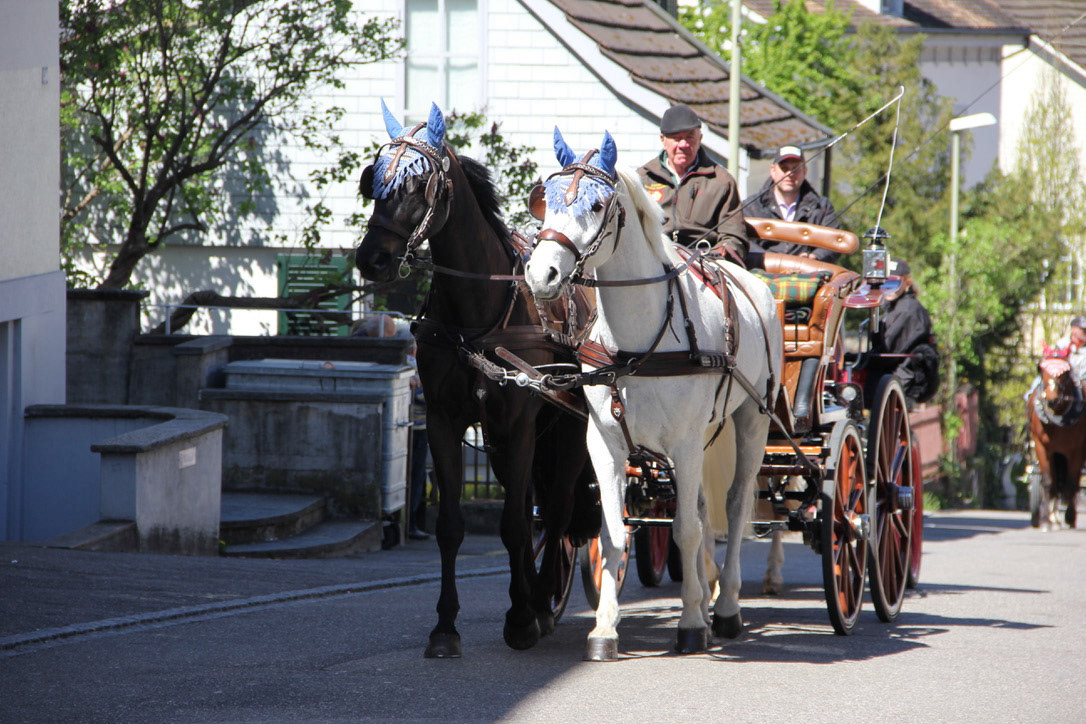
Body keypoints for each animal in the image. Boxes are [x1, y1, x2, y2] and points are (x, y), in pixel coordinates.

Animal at [355, 102, 598, 657]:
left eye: (418, 185)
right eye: (373, 180)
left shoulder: (519, 424)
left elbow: (515, 524)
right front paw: (446, 626)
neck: (477, 315)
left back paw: (543, 599)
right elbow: (452, 526)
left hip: (569, 429)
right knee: (534, 506)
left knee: (555, 510)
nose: (372, 259)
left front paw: (524, 618)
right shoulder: (445, 421)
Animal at [524, 128, 782, 659]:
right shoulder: (605, 444)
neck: (638, 343)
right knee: (702, 509)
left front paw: (691, 624)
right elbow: (614, 533)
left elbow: (685, 530)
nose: (541, 275)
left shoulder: (683, 443)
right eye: (547, 200)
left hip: (752, 420)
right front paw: (605, 629)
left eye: (597, 204)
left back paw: (725, 608)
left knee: (733, 506)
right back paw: (705, 596)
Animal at [1027, 355, 1086, 529]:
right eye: (1043, 375)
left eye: (1064, 376)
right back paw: (1052, 516)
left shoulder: (1077, 449)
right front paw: (1046, 519)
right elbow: (1048, 481)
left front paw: (1069, 516)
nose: (1052, 400)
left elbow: (1072, 482)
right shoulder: (1042, 446)